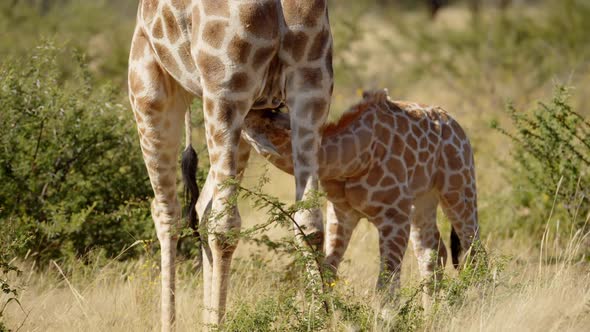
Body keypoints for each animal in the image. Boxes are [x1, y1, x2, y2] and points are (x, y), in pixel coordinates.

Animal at [244, 89, 480, 298]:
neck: (352, 159)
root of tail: (454, 124)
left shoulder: (394, 216)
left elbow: (386, 287)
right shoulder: (341, 212)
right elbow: (329, 271)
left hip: (459, 189)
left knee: (473, 250)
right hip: (423, 201)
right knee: (433, 253)